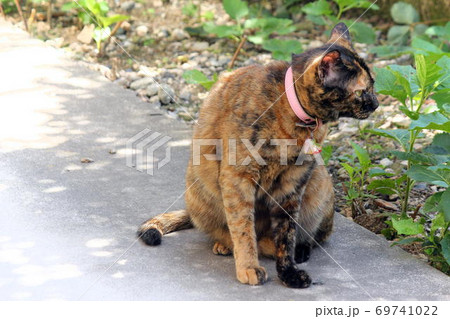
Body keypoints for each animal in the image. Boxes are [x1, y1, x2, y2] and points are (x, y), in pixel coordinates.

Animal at [138, 21, 380, 288]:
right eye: (362, 91)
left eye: (373, 86)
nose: (376, 103)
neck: (291, 113)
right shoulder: (238, 178)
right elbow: (243, 228)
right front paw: (248, 267)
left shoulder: (293, 183)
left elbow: (286, 234)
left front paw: (288, 273)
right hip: (199, 192)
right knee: (231, 231)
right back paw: (228, 245)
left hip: (319, 185)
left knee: (312, 237)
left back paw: (295, 250)